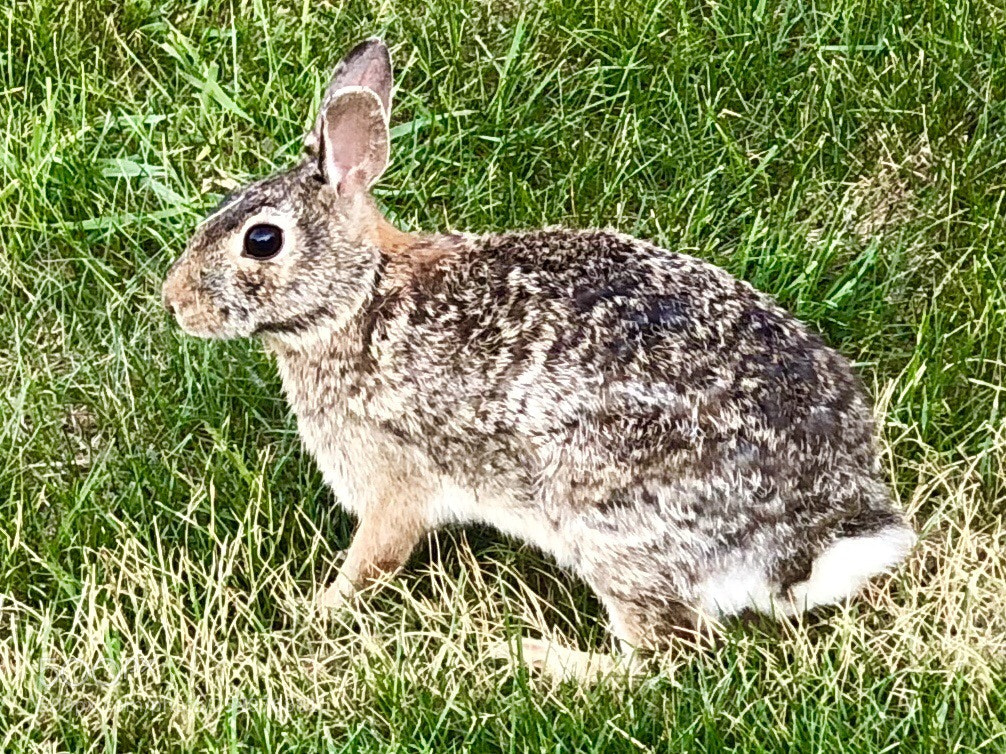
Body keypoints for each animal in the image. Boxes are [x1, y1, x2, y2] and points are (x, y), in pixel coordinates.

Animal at [162, 38, 915, 676]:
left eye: (262, 240)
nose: (173, 302)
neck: (360, 295)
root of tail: (806, 537)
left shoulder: (391, 480)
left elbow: (375, 557)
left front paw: (314, 610)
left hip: (606, 522)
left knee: (666, 653)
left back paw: (539, 658)